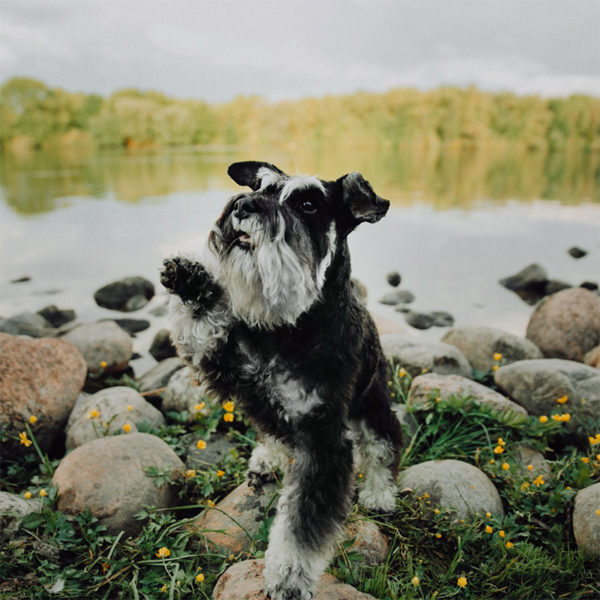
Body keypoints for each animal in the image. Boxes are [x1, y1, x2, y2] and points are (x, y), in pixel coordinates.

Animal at [162, 162, 400, 600]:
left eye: (308, 205)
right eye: (261, 187)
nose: (241, 206)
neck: (287, 327)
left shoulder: (323, 439)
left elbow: (301, 527)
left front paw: (289, 577)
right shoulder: (221, 360)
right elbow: (203, 323)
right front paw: (190, 278)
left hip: (372, 402)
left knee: (384, 442)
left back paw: (379, 492)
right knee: (274, 431)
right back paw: (268, 457)